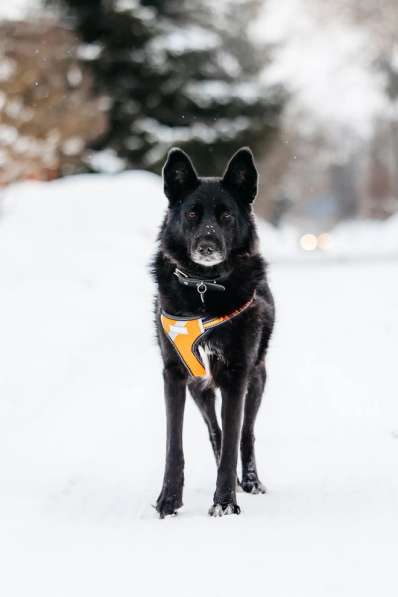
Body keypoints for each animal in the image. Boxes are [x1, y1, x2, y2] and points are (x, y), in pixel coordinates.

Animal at [152, 147, 274, 516]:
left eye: (227, 216)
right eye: (192, 213)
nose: (207, 245)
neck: (204, 287)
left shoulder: (236, 375)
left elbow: (235, 438)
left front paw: (225, 504)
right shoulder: (175, 374)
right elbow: (173, 445)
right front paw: (168, 500)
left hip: (257, 379)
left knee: (245, 434)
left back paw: (250, 481)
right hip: (199, 387)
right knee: (215, 432)